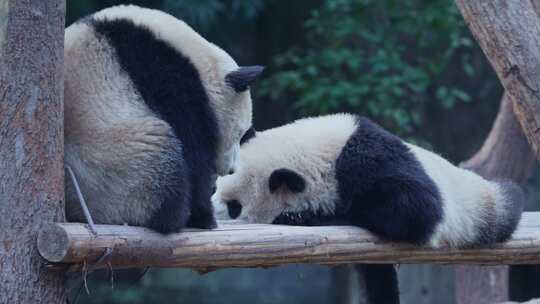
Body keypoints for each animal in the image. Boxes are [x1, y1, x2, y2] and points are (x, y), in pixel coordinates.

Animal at [64, 4, 262, 233]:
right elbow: (193, 151)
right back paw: (175, 216)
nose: (231, 170)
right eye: (240, 134)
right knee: (165, 164)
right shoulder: (166, 76)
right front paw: (204, 216)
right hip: (118, 170)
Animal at [213, 113, 524, 304]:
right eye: (216, 185)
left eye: (235, 207)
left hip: (477, 206)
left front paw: (306, 215)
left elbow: (418, 209)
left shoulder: (369, 162)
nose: (212, 212)